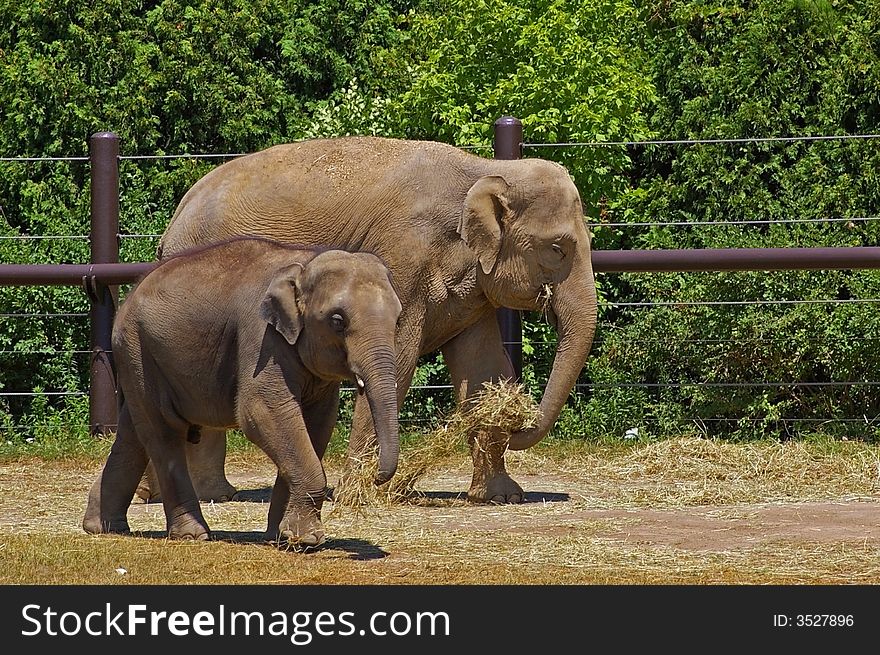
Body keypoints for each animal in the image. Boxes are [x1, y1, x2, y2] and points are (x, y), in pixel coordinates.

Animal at [84, 237, 400, 548]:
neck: (304, 263)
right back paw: (191, 535)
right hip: (138, 349)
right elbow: (261, 411)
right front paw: (306, 540)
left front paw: (283, 538)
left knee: (134, 433)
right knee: (164, 431)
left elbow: (317, 424)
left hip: (140, 359)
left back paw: (103, 527)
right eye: (337, 321)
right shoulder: (261, 337)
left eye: (397, 320)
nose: (376, 477)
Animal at [150, 136, 600, 504]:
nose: (520, 422)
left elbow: (483, 368)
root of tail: (173, 223)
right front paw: (361, 492)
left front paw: (501, 497)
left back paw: (202, 494)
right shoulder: (401, 257)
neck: (486, 170)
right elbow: (397, 361)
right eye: (558, 249)